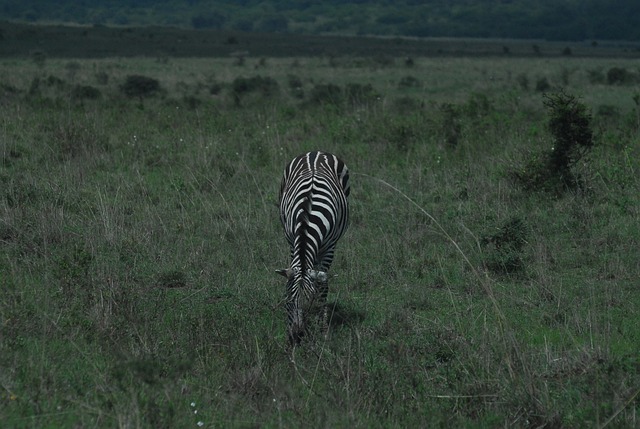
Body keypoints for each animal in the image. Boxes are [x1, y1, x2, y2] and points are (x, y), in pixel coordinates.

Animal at [276, 150, 350, 344]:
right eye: (288, 303)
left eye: (309, 304)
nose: (297, 337)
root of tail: (316, 153)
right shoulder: (292, 241)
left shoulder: (330, 248)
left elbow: (322, 286)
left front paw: (323, 329)